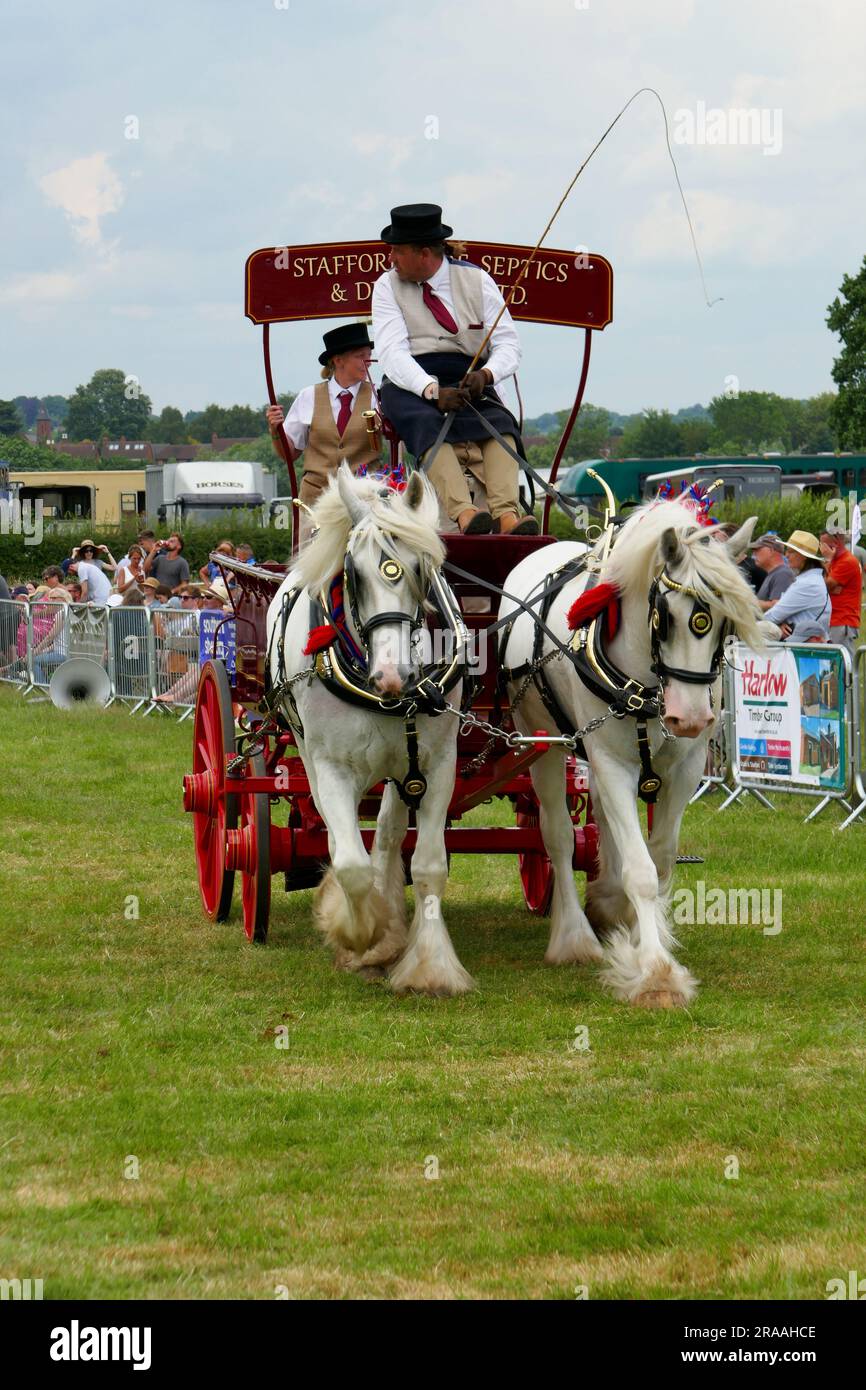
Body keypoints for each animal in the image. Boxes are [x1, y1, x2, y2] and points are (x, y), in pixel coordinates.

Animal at [269, 469, 475, 1000]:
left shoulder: (436, 764)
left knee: (386, 835)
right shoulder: (332, 768)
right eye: (353, 574)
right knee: (339, 837)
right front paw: (364, 940)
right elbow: (350, 864)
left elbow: (427, 865)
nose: (391, 675)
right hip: (308, 752)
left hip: (402, 769)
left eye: (422, 570)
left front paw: (429, 964)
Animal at [500, 503, 767, 1011]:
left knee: (600, 824)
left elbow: (659, 862)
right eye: (667, 616)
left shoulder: (684, 769)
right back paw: (573, 937)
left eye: (725, 622)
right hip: (542, 740)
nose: (690, 717)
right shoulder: (611, 762)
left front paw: (645, 937)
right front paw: (657, 975)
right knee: (556, 837)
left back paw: (605, 903)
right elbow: (640, 871)